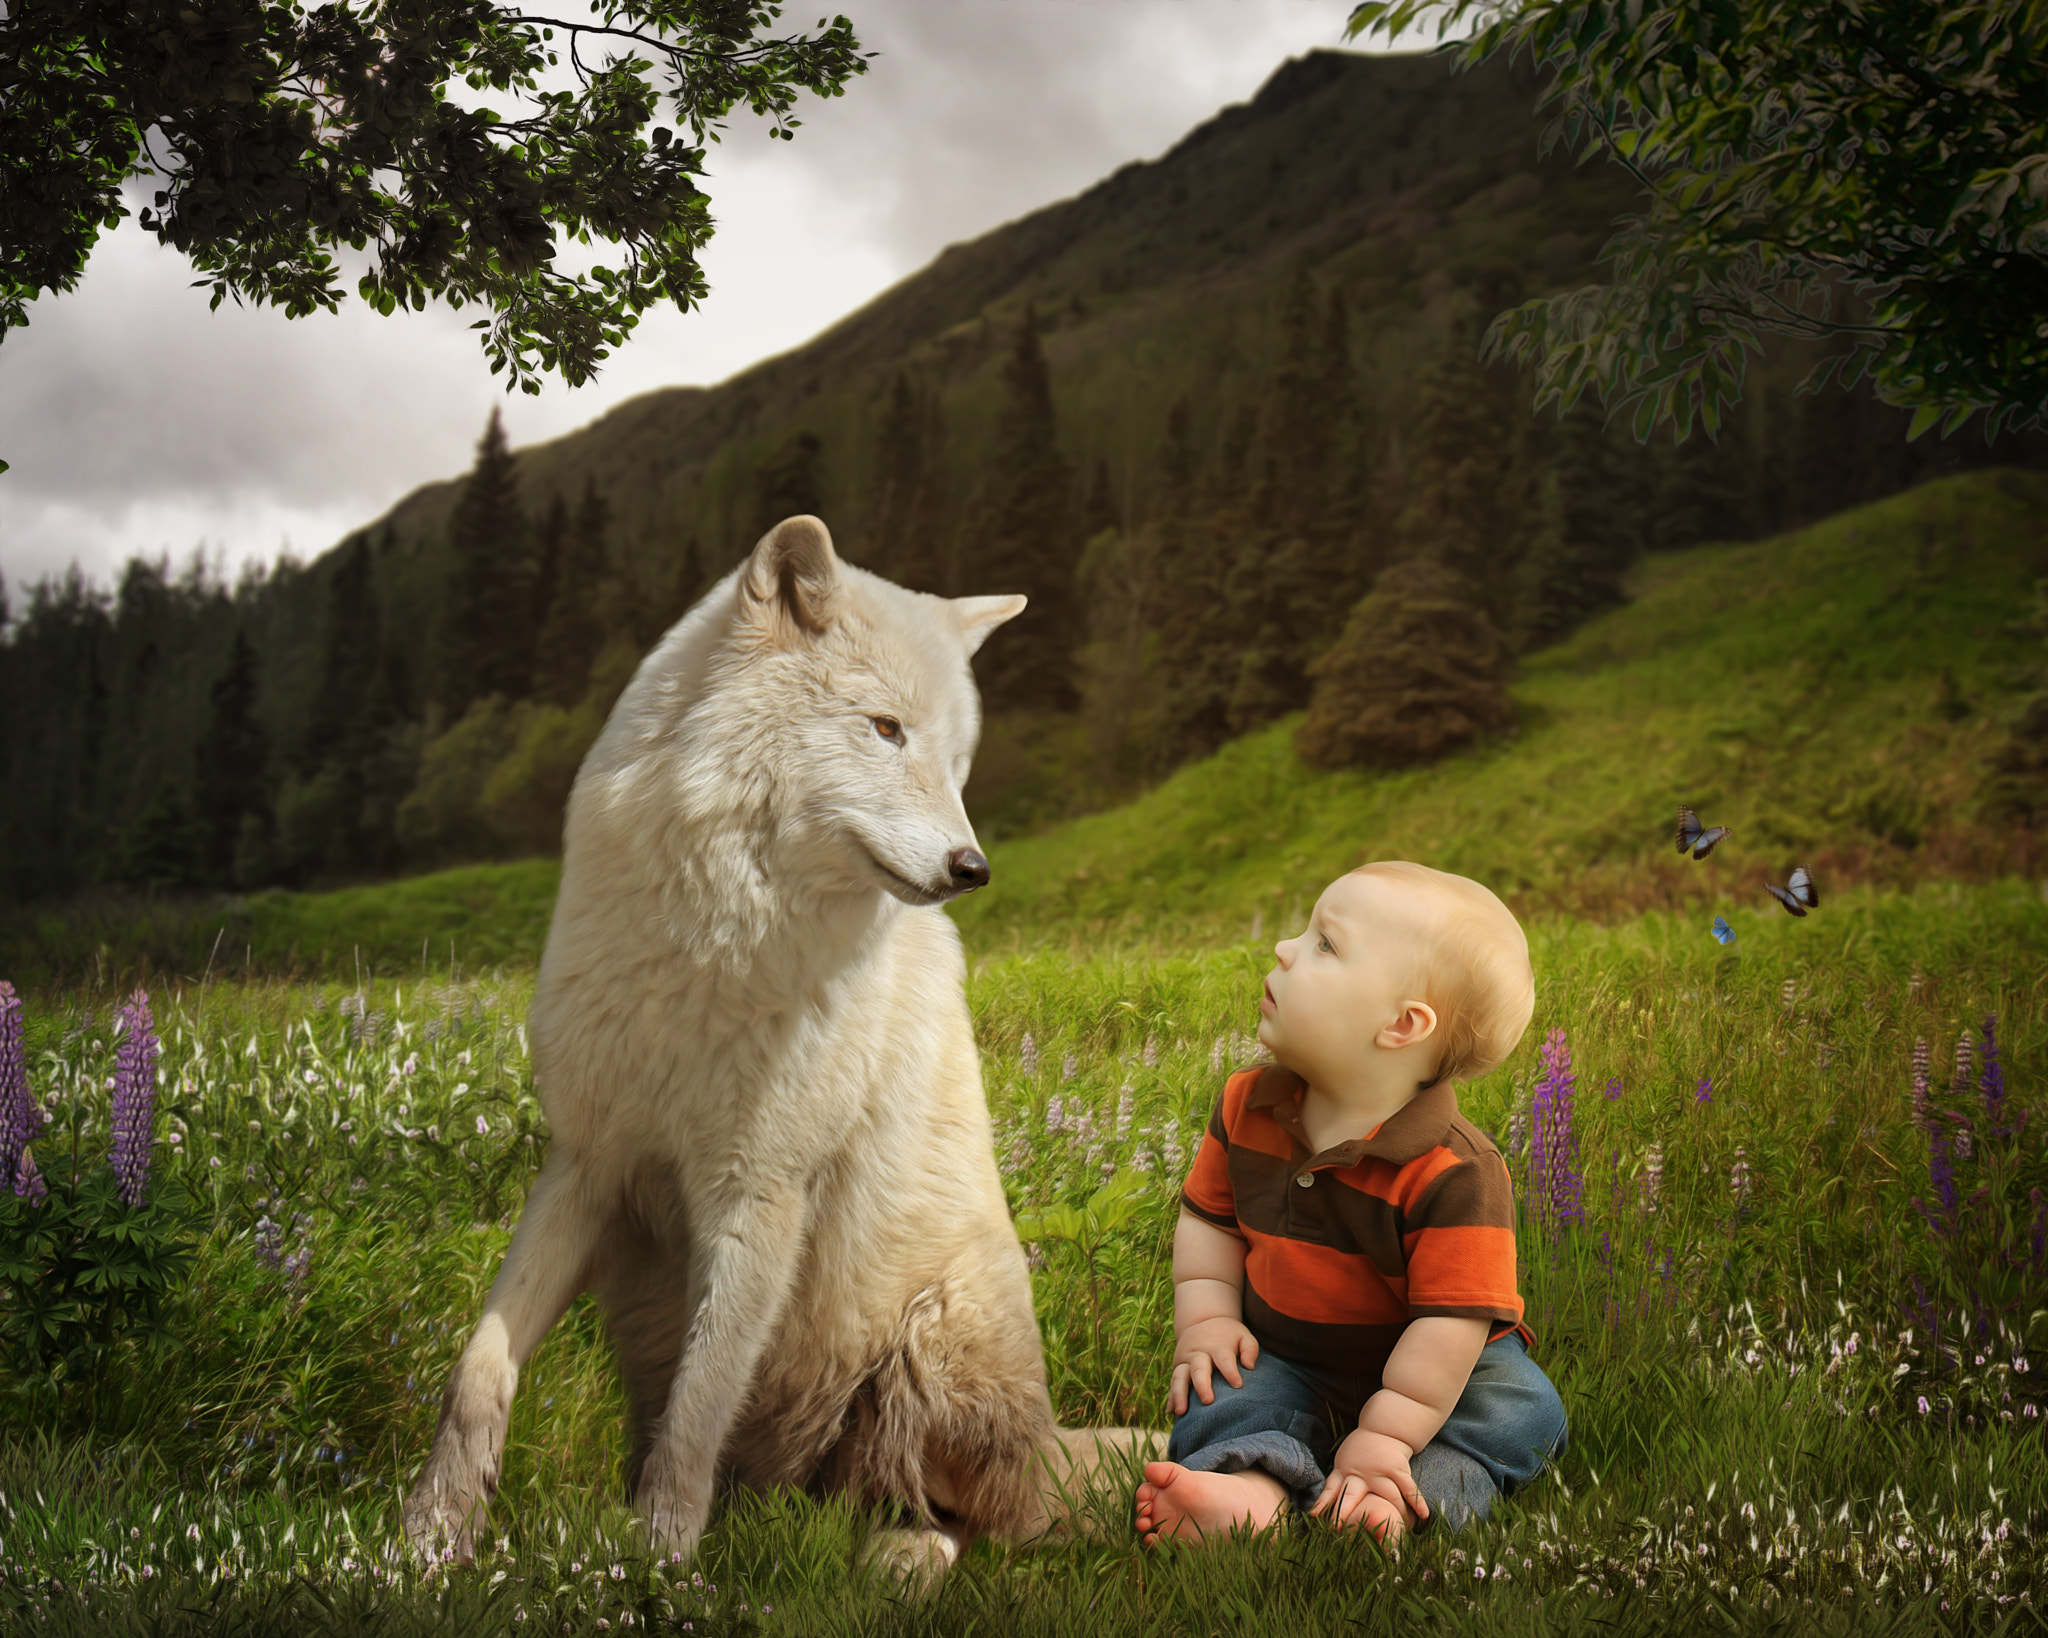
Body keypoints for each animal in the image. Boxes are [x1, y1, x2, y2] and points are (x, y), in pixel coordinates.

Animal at [403, 518, 1122, 1580]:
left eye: (957, 762)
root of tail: (1049, 1443)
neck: (711, 951)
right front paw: (430, 1532)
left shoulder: (760, 1195)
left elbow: (696, 1416)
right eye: (885, 730)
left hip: (929, 1338)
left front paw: (653, 1568)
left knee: (962, 1522)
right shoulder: (586, 1165)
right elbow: (480, 1367)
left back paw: (894, 1564)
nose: (973, 868)